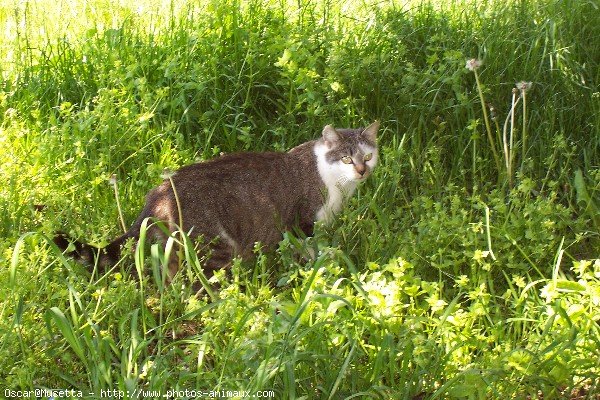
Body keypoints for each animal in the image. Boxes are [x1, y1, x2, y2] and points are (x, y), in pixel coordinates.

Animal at [54, 122, 378, 278]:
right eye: (347, 159)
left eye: (368, 156)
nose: (361, 171)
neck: (334, 182)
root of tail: (158, 193)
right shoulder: (302, 222)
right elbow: (310, 250)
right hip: (216, 247)